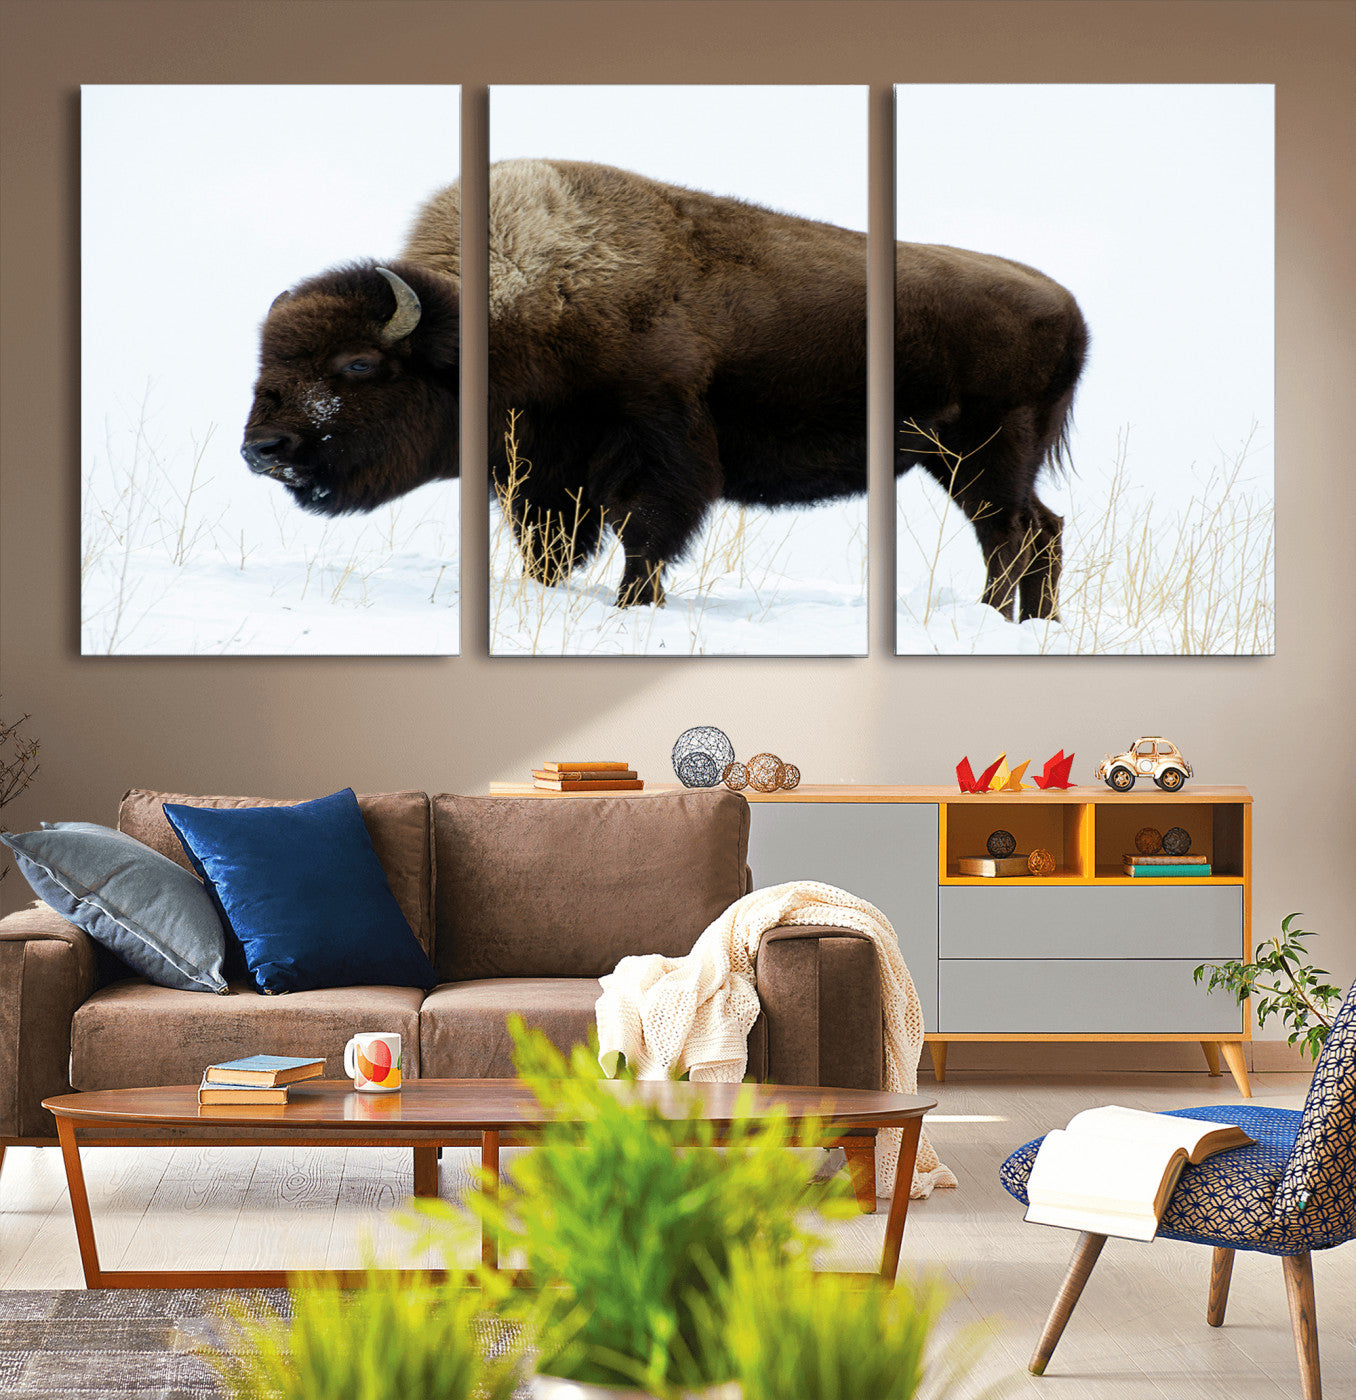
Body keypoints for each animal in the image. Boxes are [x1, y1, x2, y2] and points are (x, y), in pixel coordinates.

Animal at [243, 159, 1087, 617]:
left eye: (357, 365)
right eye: (268, 362)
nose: (263, 449)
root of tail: (1068, 306)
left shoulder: (657, 450)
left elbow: (646, 537)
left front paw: (633, 607)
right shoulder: (541, 478)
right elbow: (552, 547)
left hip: (985, 452)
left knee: (1014, 535)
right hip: (960, 461)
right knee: (1034, 532)